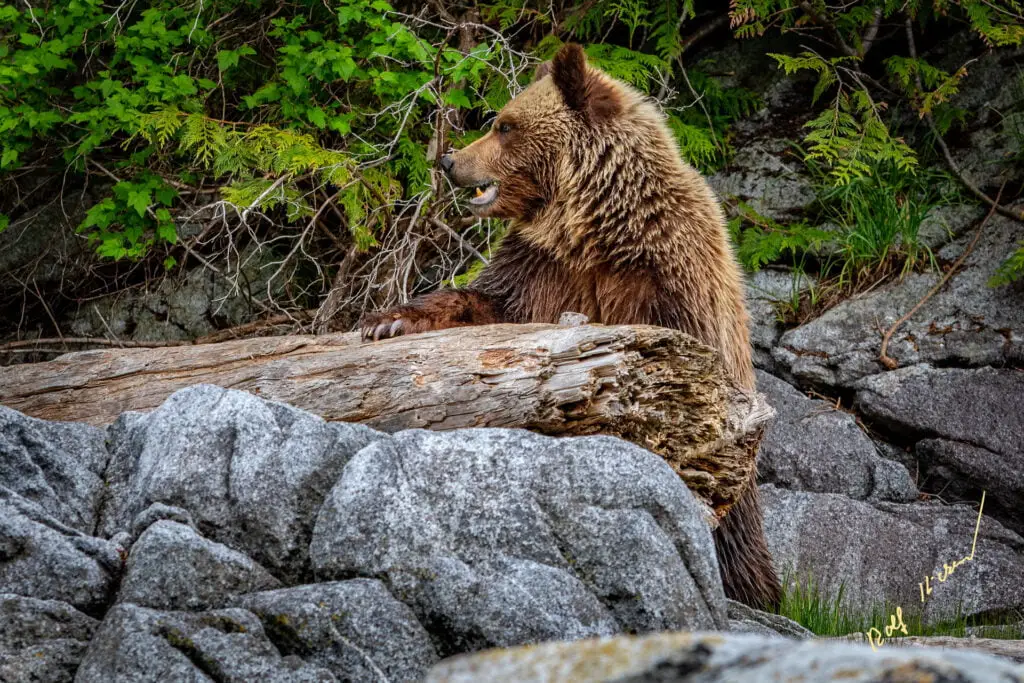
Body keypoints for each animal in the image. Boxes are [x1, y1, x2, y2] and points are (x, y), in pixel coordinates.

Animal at [360, 43, 781, 609]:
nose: (449, 161)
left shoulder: (665, 281)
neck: (591, 228)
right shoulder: (543, 267)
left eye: (504, 125)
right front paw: (387, 322)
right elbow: (485, 303)